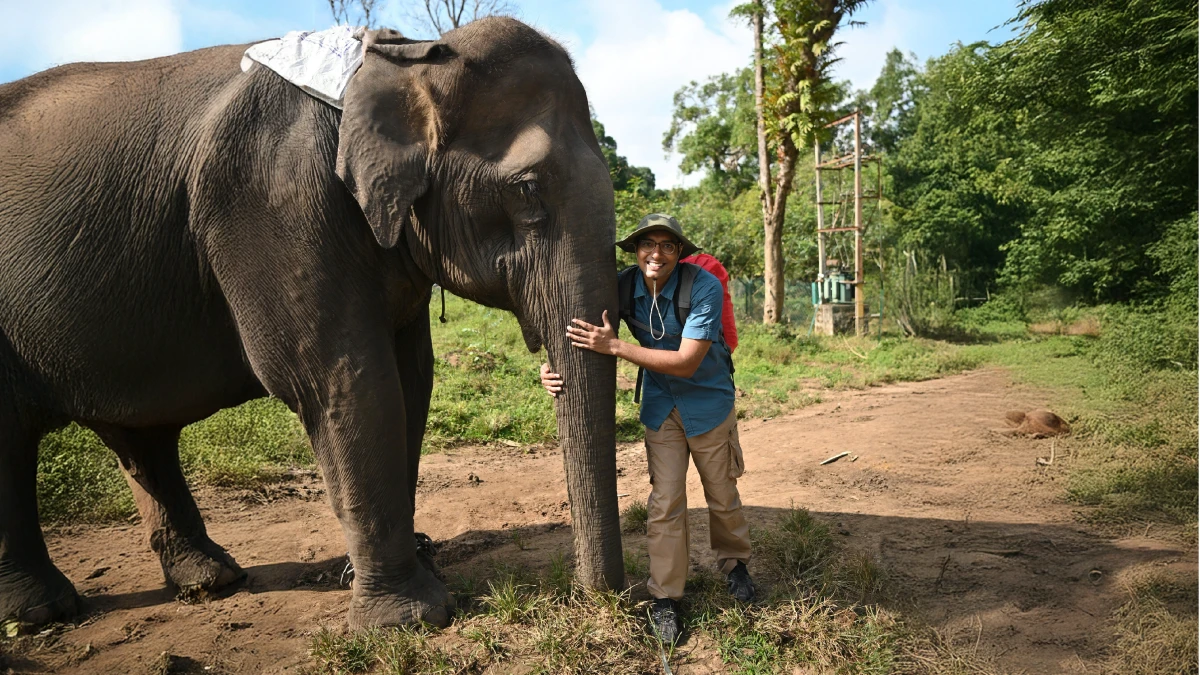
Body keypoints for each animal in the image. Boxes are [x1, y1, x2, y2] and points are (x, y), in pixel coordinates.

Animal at [2, 17, 628, 624]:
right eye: (527, 189)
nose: (600, 601)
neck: (408, 58)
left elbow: (411, 378)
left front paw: (416, 572)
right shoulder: (272, 199)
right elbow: (343, 380)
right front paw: (408, 619)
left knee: (142, 436)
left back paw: (210, 582)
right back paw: (42, 613)